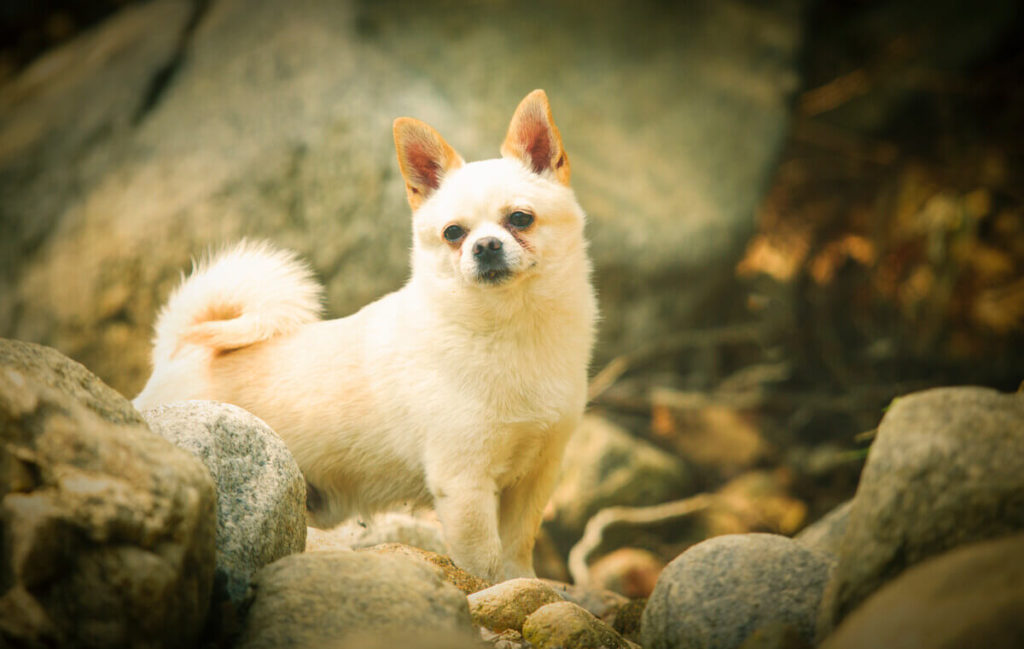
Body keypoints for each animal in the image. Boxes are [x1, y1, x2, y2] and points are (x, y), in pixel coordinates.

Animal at [136, 88, 598, 577]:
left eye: (521, 219)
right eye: (453, 233)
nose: (485, 246)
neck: (511, 326)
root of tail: (174, 356)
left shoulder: (536, 476)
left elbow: (515, 551)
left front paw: (528, 584)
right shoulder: (464, 484)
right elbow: (484, 565)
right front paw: (494, 590)